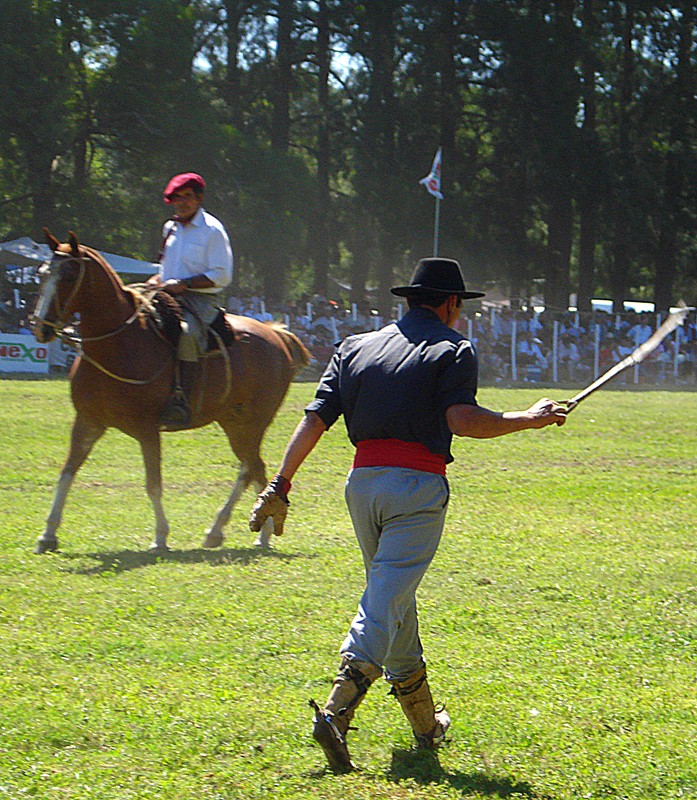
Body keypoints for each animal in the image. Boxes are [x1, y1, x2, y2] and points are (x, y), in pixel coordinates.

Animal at [29, 233, 308, 556]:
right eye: (42, 273)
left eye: (70, 274)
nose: (40, 327)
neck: (117, 344)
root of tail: (277, 335)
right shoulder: (87, 422)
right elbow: (67, 473)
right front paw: (48, 534)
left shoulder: (147, 429)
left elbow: (153, 483)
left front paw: (160, 536)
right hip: (233, 421)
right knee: (253, 468)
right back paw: (238, 532)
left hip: (250, 423)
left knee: (251, 467)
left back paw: (242, 532)